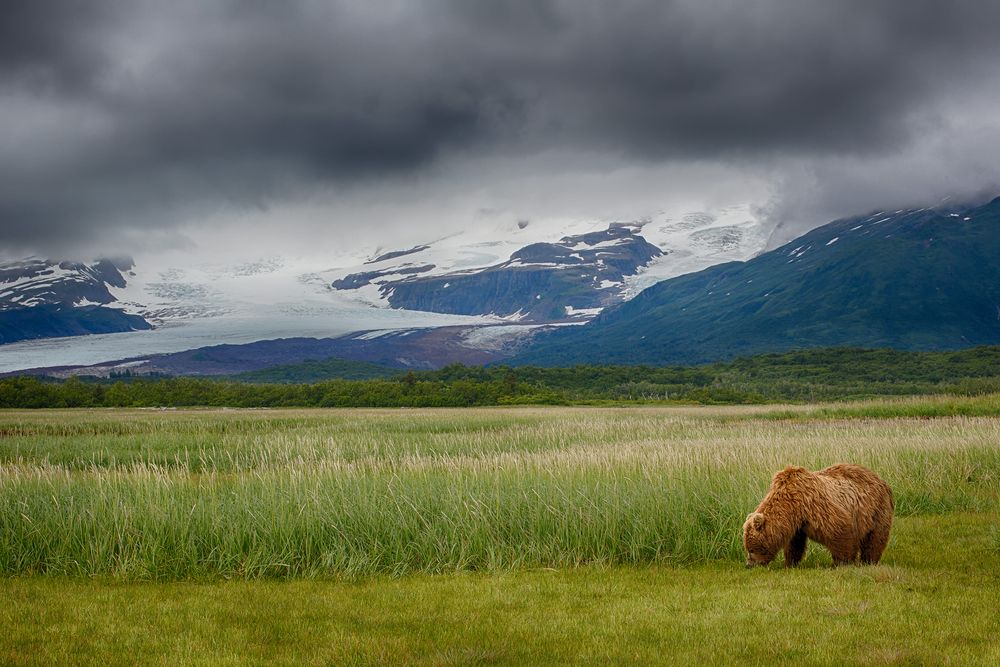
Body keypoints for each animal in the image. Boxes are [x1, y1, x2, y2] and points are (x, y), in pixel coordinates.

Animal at [743, 463, 893, 568]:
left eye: (751, 549)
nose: (749, 565)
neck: (791, 505)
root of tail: (882, 480)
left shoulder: (814, 505)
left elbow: (839, 529)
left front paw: (841, 562)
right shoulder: (797, 523)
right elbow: (794, 544)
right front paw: (789, 563)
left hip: (876, 509)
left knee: (875, 538)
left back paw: (869, 561)